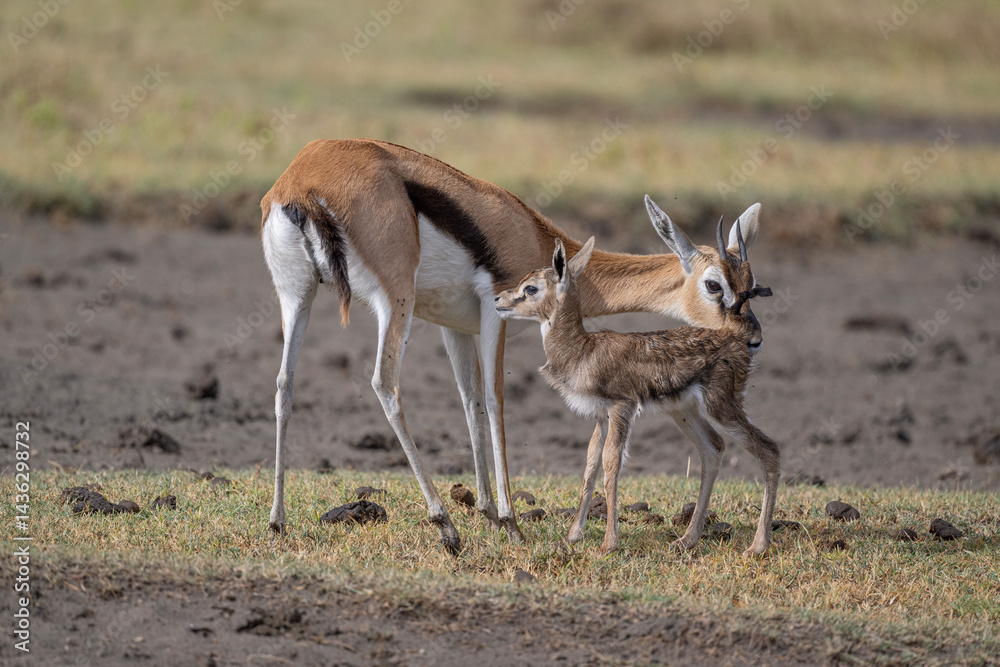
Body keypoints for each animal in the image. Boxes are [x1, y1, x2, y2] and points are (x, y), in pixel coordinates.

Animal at [494, 226, 779, 556]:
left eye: (530, 288)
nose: (498, 299)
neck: (582, 351)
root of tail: (733, 337)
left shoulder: (622, 407)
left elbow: (611, 463)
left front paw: (608, 544)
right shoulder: (600, 415)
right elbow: (590, 465)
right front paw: (572, 536)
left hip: (721, 406)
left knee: (769, 450)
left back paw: (757, 547)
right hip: (684, 411)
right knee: (713, 448)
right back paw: (687, 539)